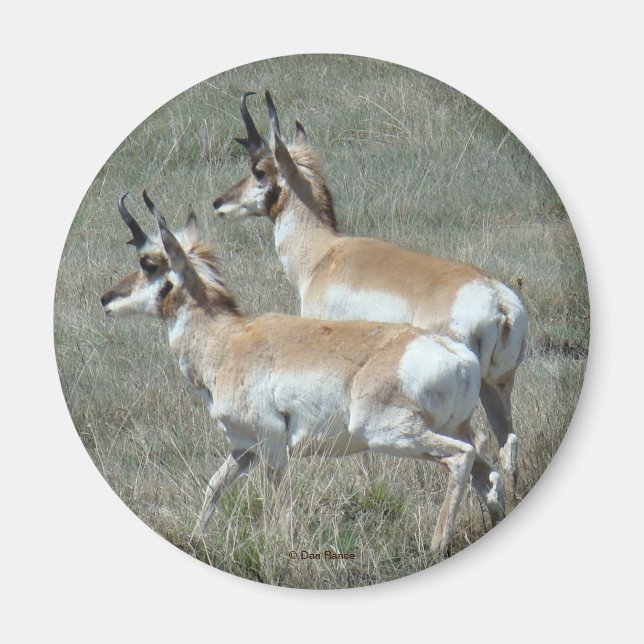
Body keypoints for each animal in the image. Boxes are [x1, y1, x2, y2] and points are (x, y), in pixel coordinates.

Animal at [101, 191, 505, 554]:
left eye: (148, 263)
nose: (106, 298)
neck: (228, 341)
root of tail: (458, 356)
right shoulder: (244, 448)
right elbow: (214, 485)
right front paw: (197, 539)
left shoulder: (272, 445)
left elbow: (282, 508)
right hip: (446, 429)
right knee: (489, 472)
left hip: (391, 434)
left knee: (462, 457)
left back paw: (437, 545)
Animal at [212, 92, 528, 506]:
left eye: (260, 170)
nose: (218, 202)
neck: (324, 253)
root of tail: (496, 299)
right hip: (496, 387)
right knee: (508, 441)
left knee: (475, 441)